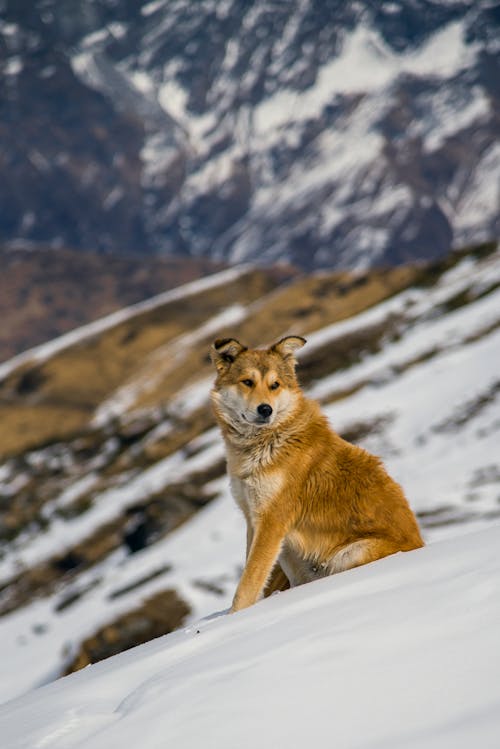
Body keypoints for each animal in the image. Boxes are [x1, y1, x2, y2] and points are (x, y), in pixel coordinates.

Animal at [209, 336, 424, 612]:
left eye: (275, 385)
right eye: (247, 382)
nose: (266, 409)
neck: (266, 443)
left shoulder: (271, 521)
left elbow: (248, 583)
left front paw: (236, 616)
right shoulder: (252, 517)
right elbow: (254, 573)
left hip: (349, 553)